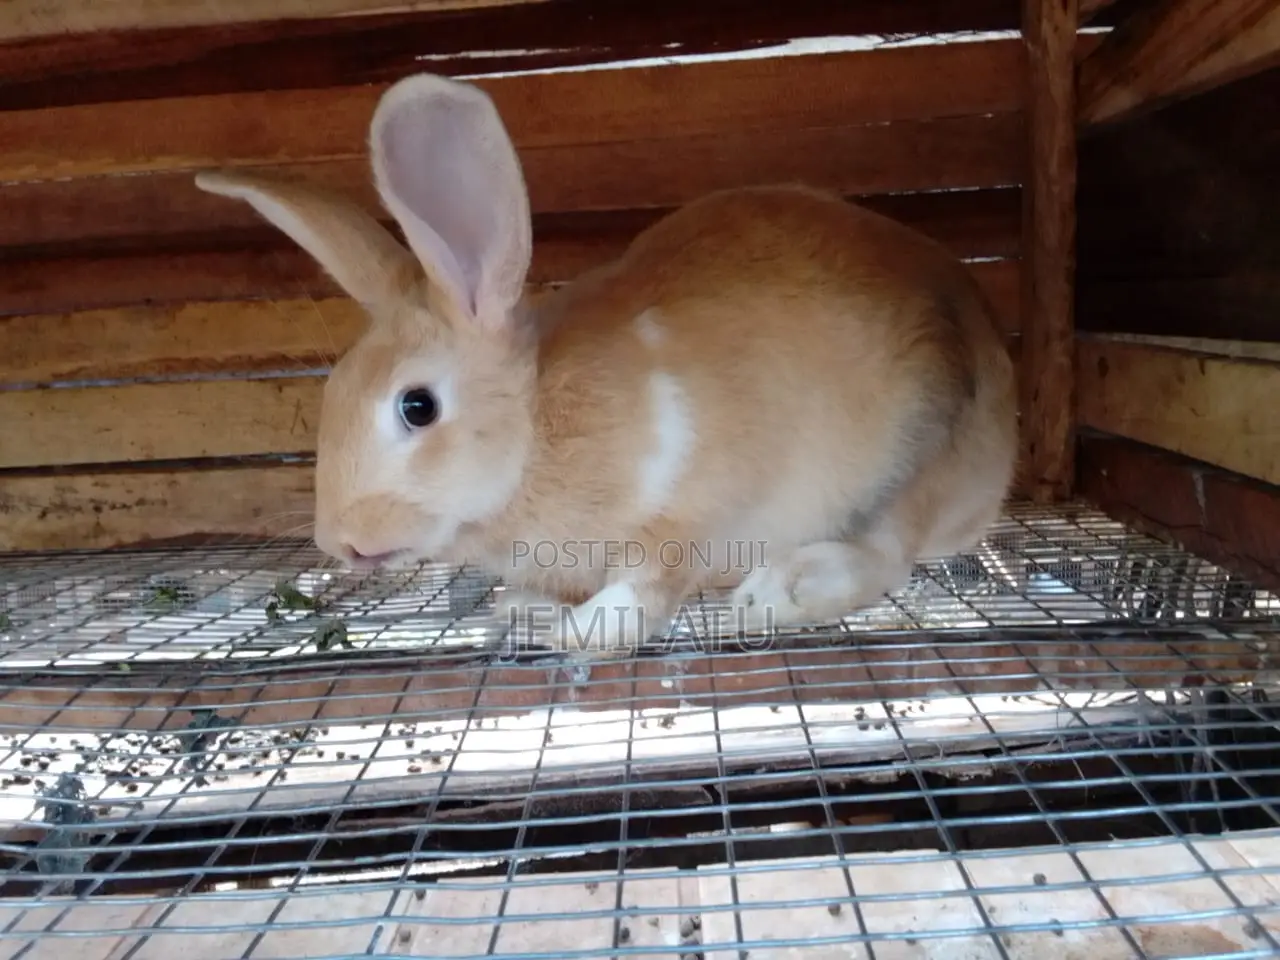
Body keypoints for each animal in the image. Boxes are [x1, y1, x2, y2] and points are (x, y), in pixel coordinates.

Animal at [194, 71, 1019, 663]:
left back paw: (779, 593)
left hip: (914, 459)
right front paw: (524, 609)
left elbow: (644, 594)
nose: (340, 542)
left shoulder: (688, 510)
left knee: (888, 556)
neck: (535, 435)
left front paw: (569, 630)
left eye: (416, 406)